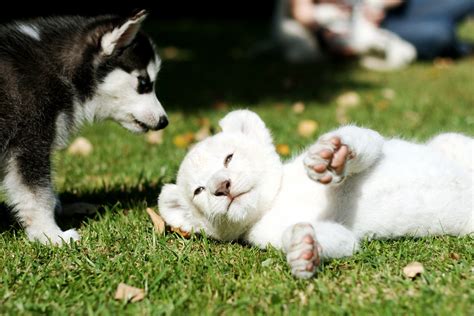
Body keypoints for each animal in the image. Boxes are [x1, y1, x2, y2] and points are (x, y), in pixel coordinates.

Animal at [0, 10, 168, 244]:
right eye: (144, 83)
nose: (164, 121)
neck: (57, 68)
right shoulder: (30, 141)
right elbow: (37, 194)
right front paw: (51, 234)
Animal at [160, 111, 474, 278]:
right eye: (199, 190)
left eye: (229, 158)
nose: (221, 187)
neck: (278, 198)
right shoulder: (271, 234)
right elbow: (340, 240)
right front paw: (304, 250)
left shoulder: (373, 144)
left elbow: (367, 140)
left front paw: (334, 154)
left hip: (450, 143)